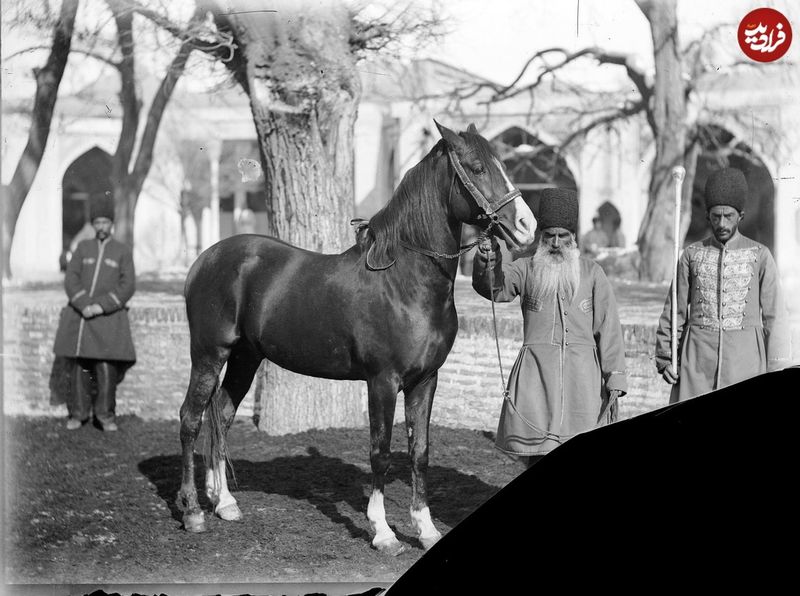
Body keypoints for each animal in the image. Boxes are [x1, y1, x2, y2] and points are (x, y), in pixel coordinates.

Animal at [176, 118, 536, 556]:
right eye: (478, 168)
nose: (527, 226)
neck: (405, 281)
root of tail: (203, 261)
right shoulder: (382, 382)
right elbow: (380, 452)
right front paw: (383, 532)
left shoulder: (425, 381)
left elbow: (419, 452)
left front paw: (425, 528)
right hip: (208, 355)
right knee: (191, 419)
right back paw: (193, 512)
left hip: (245, 357)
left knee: (222, 414)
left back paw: (225, 503)